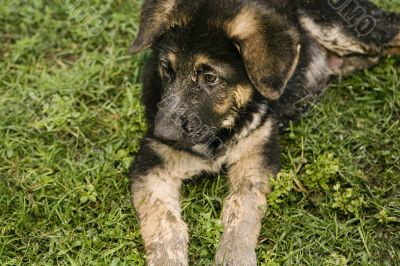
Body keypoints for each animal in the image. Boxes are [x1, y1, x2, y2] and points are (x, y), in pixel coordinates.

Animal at [129, 1, 400, 264]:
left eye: (210, 77)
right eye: (167, 69)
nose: (162, 134)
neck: (220, 130)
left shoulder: (256, 155)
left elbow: (242, 211)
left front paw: (234, 256)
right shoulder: (150, 167)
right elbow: (164, 224)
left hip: (345, 29)